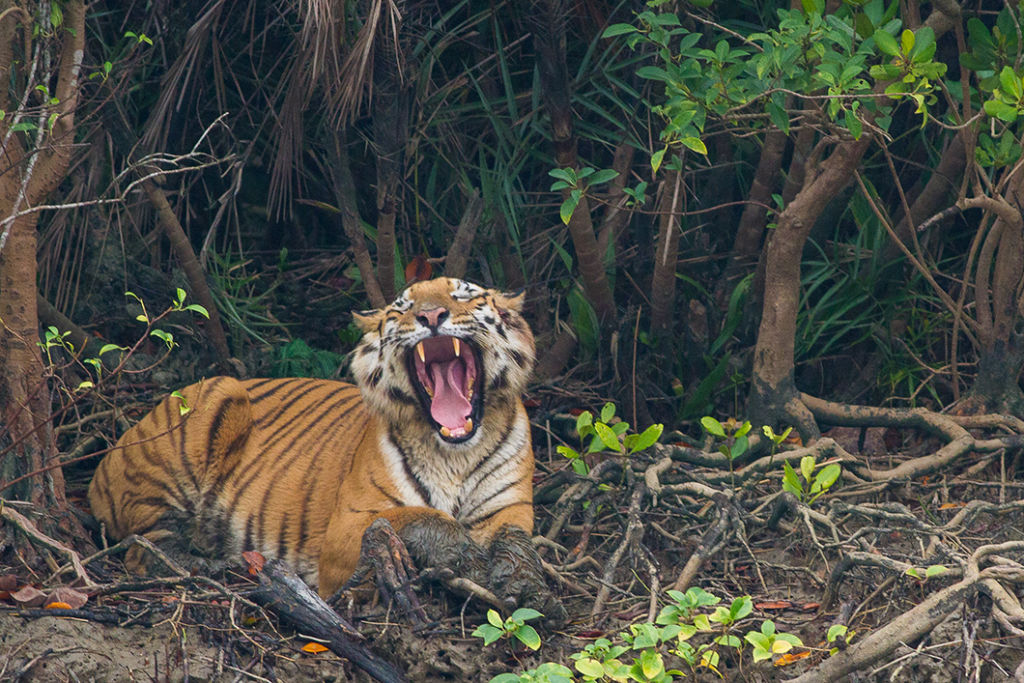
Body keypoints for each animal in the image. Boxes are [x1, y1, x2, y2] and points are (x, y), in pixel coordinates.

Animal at [87, 276, 565, 618]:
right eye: (403, 307)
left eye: (463, 295)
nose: (431, 315)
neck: (454, 452)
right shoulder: (348, 528)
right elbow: (421, 517)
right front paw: (471, 560)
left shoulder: (510, 510)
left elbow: (516, 540)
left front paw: (527, 586)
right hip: (217, 394)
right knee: (143, 546)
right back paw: (204, 564)